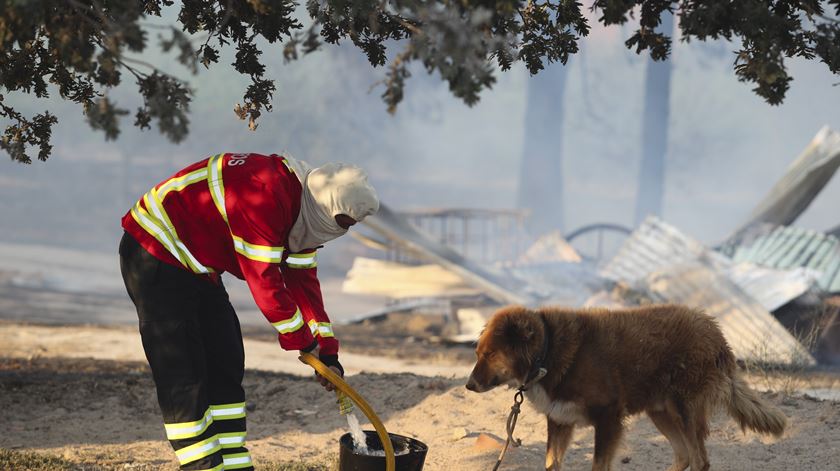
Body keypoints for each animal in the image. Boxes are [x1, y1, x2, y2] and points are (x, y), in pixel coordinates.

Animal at [466, 306, 788, 471]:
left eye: (490, 354)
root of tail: (715, 332)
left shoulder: (608, 418)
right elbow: (551, 463)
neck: (548, 350)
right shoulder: (559, 420)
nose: (469, 385)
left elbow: (598, 466)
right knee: (684, 455)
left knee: (699, 460)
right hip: (661, 412)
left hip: (685, 411)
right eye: (478, 353)